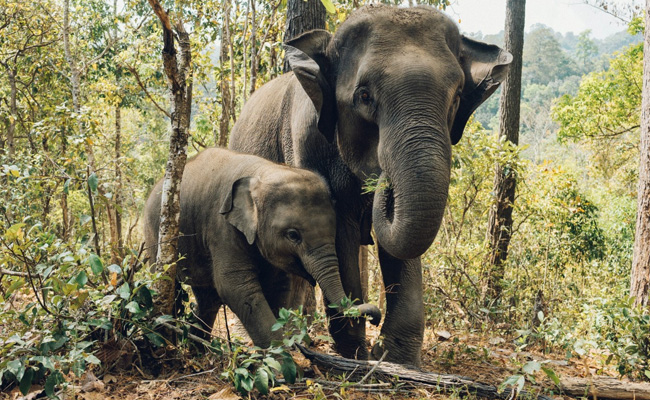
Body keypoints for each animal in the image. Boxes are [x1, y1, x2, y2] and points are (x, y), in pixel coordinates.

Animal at [143, 148, 381, 349]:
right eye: (293, 235)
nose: (375, 318)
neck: (263, 172)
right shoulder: (222, 227)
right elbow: (236, 286)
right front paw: (283, 365)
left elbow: (278, 286)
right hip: (156, 235)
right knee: (169, 285)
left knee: (208, 298)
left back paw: (199, 351)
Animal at [229, 5, 512, 365]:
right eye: (364, 96)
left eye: (457, 97)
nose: (383, 180)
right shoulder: (306, 144)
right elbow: (340, 232)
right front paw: (356, 354)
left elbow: (400, 244)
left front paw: (396, 359)